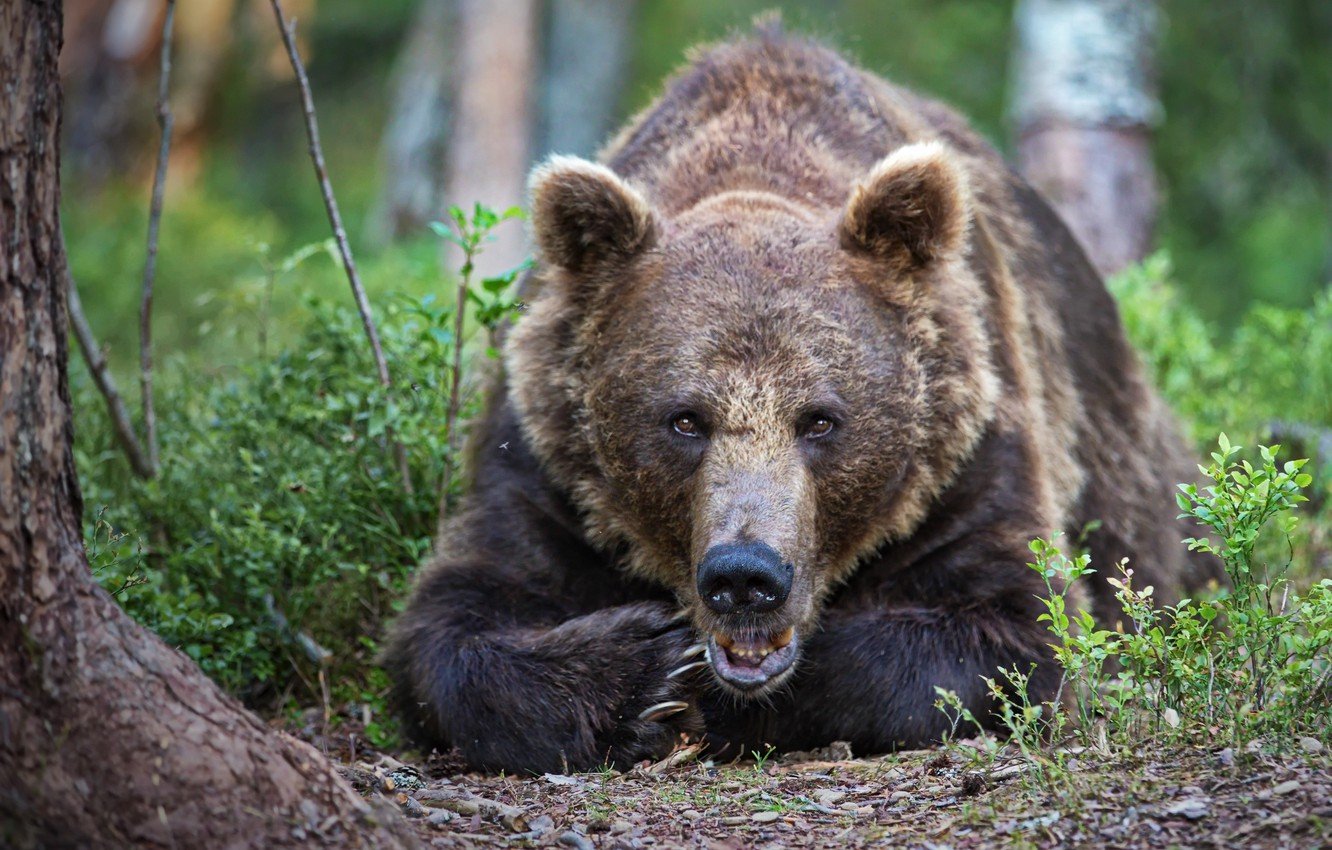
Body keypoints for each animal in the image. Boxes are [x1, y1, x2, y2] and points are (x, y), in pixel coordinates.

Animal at [383, 23, 1220, 778]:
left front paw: (709, 695)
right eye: (684, 419)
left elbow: (1014, 628)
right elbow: (454, 618)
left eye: (821, 419)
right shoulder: (546, 464)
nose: (745, 576)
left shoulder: (968, 447)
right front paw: (645, 669)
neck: (757, 157)